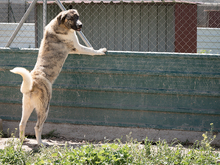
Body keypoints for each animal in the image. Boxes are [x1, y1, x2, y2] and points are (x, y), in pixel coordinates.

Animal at [10, 9, 106, 145]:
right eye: (71, 18)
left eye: (78, 17)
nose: (81, 25)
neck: (59, 25)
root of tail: (32, 83)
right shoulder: (78, 47)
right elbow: (91, 50)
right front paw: (101, 51)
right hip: (44, 108)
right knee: (37, 127)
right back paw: (41, 143)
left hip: (27, 107)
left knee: (22, 123)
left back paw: (23, 140)